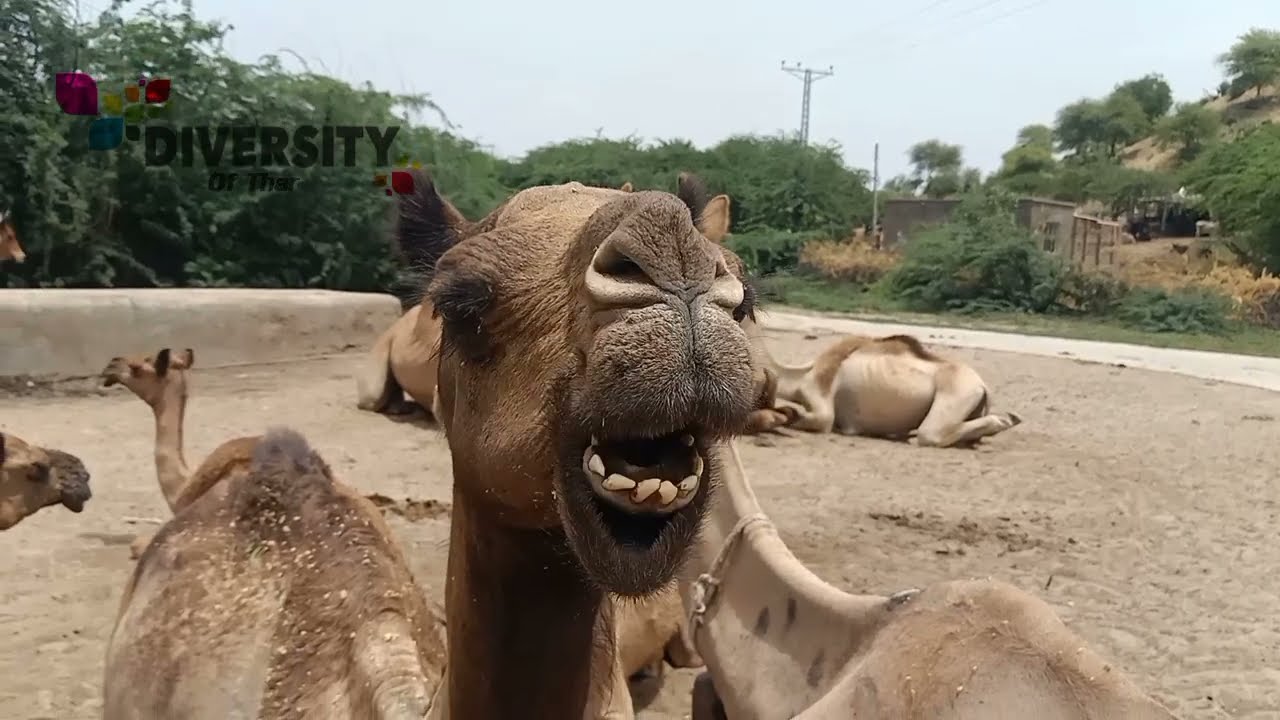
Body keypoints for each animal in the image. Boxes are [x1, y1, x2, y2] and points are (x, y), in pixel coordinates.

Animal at [746, 332, 1022, 447]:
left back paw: (1005, 420)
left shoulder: (821, 399)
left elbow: (810, 418)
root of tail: (983, 386)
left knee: (930, 434)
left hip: (957, 394)